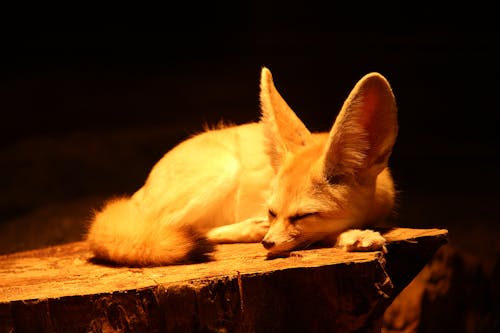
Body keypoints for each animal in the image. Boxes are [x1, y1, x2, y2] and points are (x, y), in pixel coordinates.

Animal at [86, 67, 398, 264]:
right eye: (272, 212)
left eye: (303, 215)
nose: (268, 244)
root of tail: (138, 193)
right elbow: (322, 234)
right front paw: (354, 236)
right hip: (222, 171)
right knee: (168, 228)